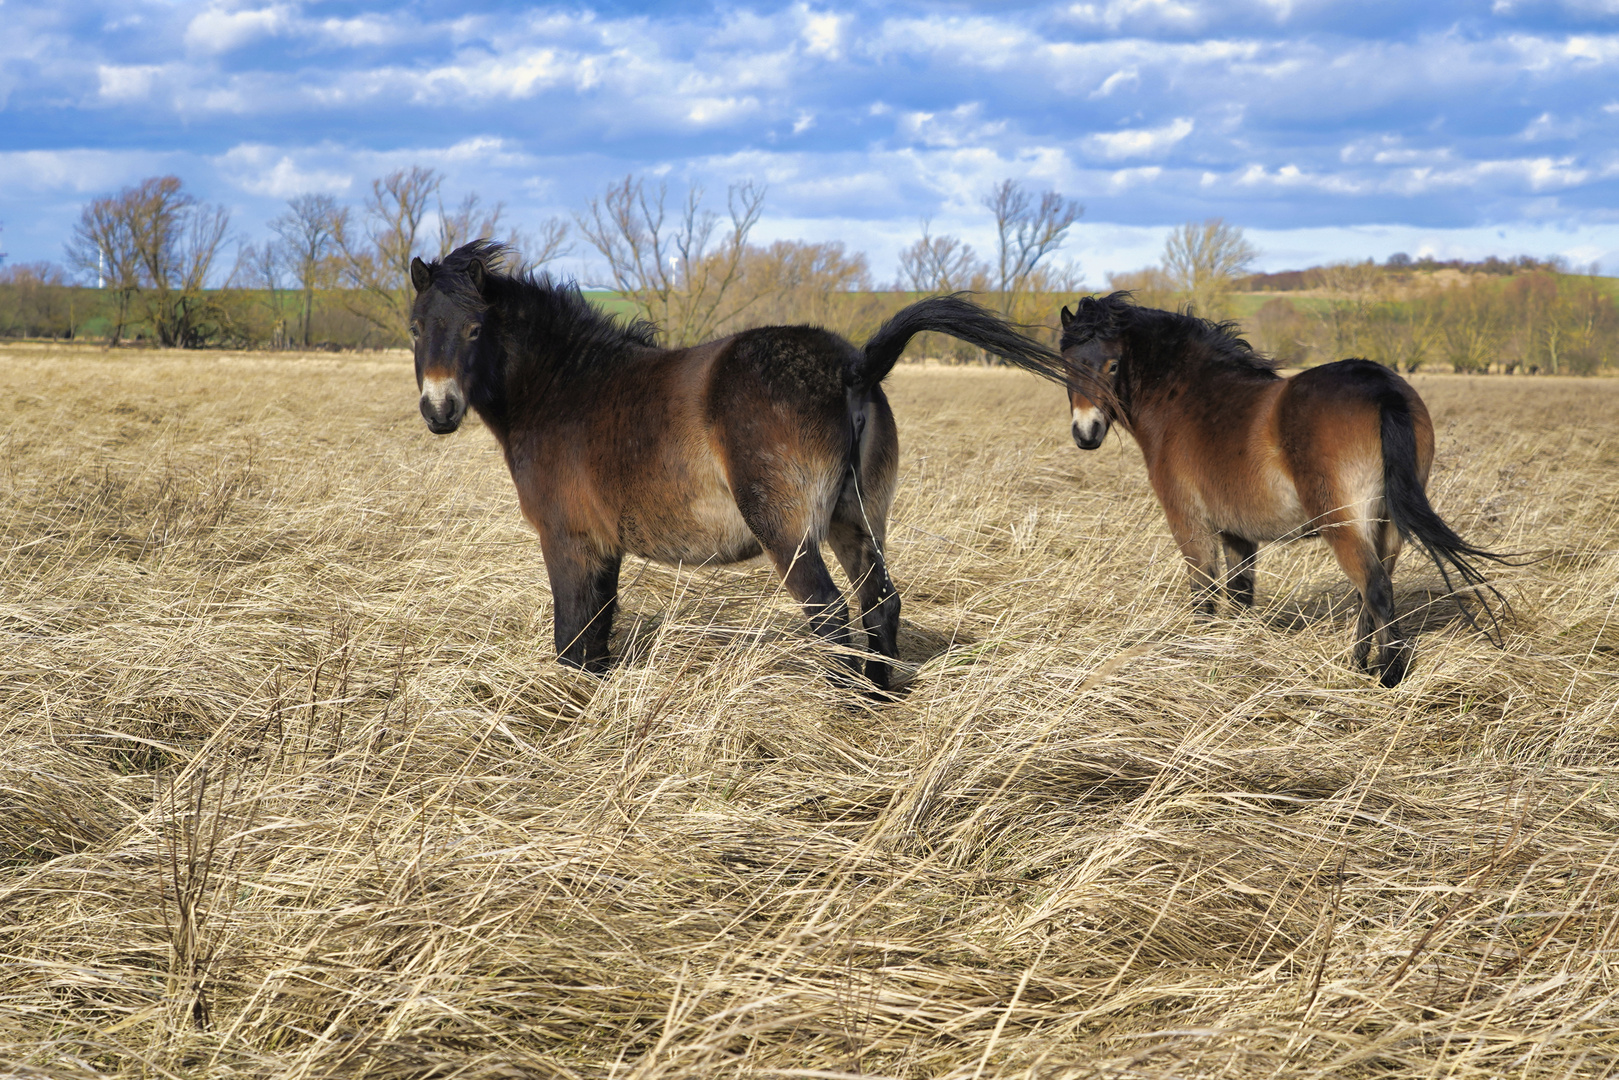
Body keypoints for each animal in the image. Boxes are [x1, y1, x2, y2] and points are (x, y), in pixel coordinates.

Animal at [411, 239, 1081, 689]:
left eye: (475, 329)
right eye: (417, 327)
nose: (439, 409)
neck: (568, 387)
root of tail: (853, 364)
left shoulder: (569, 541)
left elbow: (574, 636)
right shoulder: (605, 547)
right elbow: (597, 635)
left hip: (790, 535)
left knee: (832, 613)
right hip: (856, 521)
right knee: (879, 603)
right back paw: (878, 694)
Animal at [1062, 291, 1502, 689]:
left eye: (1113, 364)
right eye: (1067, 366)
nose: (1086, 433)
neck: (1185, 401)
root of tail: (1382, 388)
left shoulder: (1190, 525)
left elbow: (1204, 596)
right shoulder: (1237, 534)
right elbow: (1240, 596)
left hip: (1343, 522)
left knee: (1374, 587)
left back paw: (1388, 675)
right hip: (1387, 526)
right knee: (1373, 589)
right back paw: (1359, 666)